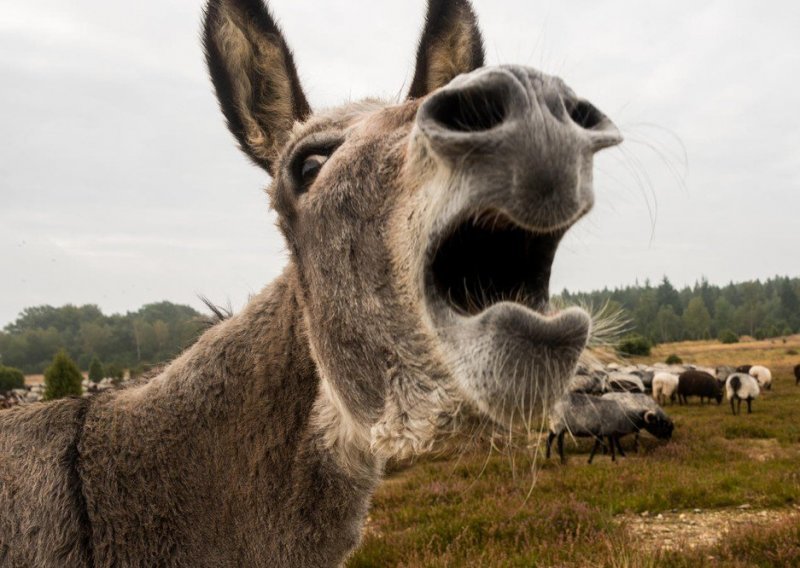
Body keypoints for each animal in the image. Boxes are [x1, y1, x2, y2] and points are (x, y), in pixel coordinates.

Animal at [544, 392, 676, 464]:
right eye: (660, 424)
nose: (669, 440)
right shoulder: (608, 430)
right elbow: (611, 443)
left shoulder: (608, 432)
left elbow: (611, 443)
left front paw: (613, 456)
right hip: (560, 425)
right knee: (559, 443)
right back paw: (562, 460)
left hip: (555, 426)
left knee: (549, 439)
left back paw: (548, 457)